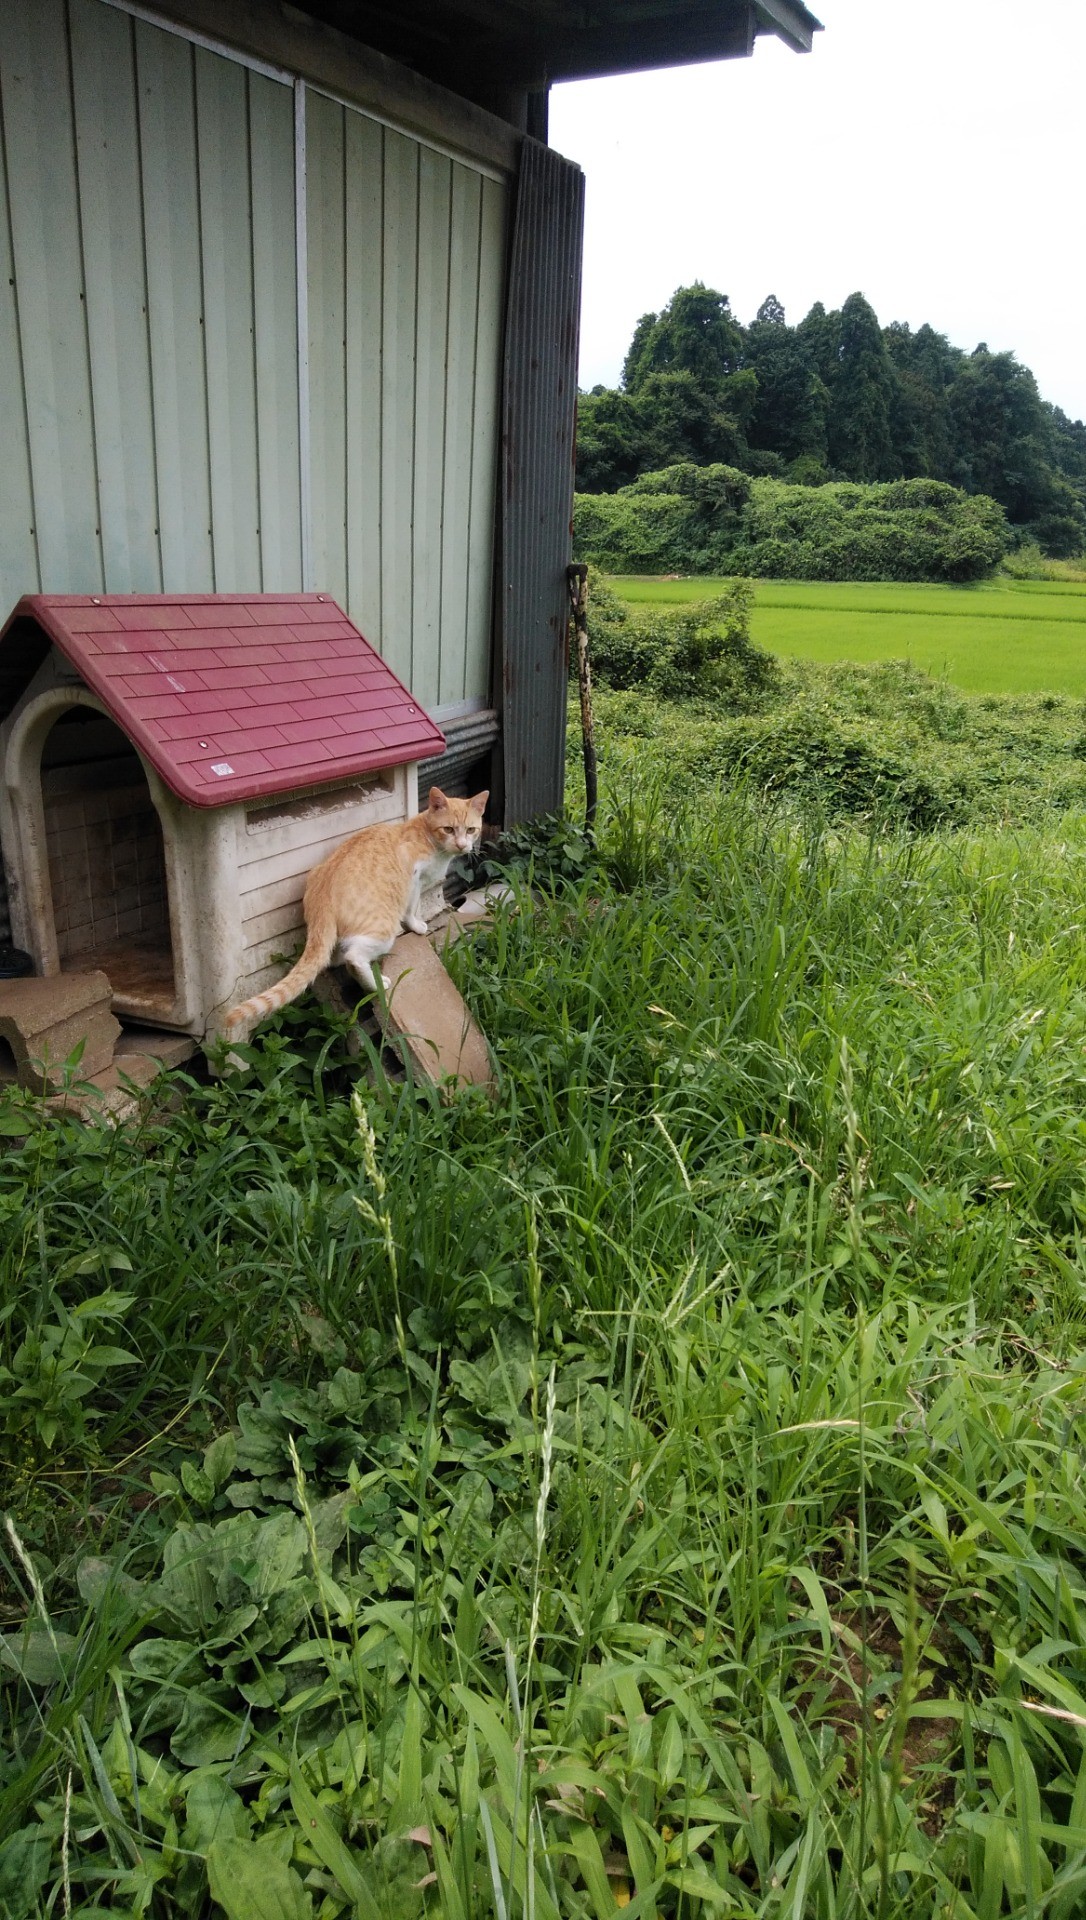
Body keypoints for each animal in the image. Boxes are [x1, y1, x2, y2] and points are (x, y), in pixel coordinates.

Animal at [223, 787, 487, 1044]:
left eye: (471, 830)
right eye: (448, 829)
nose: (463, 845)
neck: (428, 839)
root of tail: (322, 896)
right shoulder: (413, 880)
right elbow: (412, 908)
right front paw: (417, 925)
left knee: (333, 958)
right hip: (383, 930)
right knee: (354, 957)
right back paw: (376, 984)